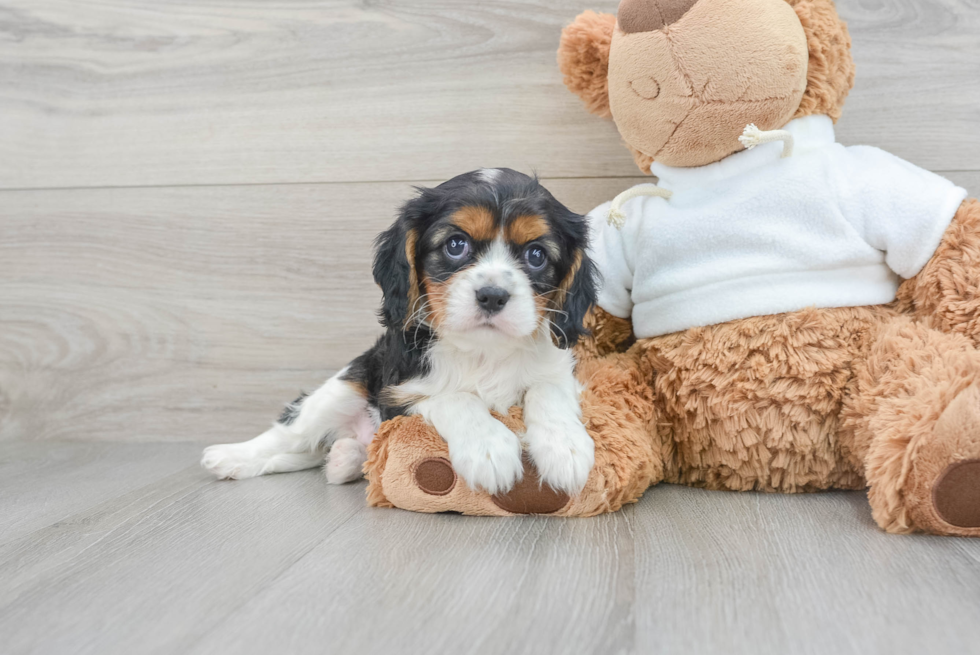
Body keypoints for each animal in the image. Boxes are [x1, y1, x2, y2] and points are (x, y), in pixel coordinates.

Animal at [200, 167, 596, 494]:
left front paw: (566, 448)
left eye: (536, 255)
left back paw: (344, 458)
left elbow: (547, 391)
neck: (483, 352)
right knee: (292, 434)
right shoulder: (398, 394)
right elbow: (454, 397)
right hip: (346, 385)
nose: (493, 295)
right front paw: (488, 448)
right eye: (456, 245)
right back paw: (230, 457)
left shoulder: (559, 371)